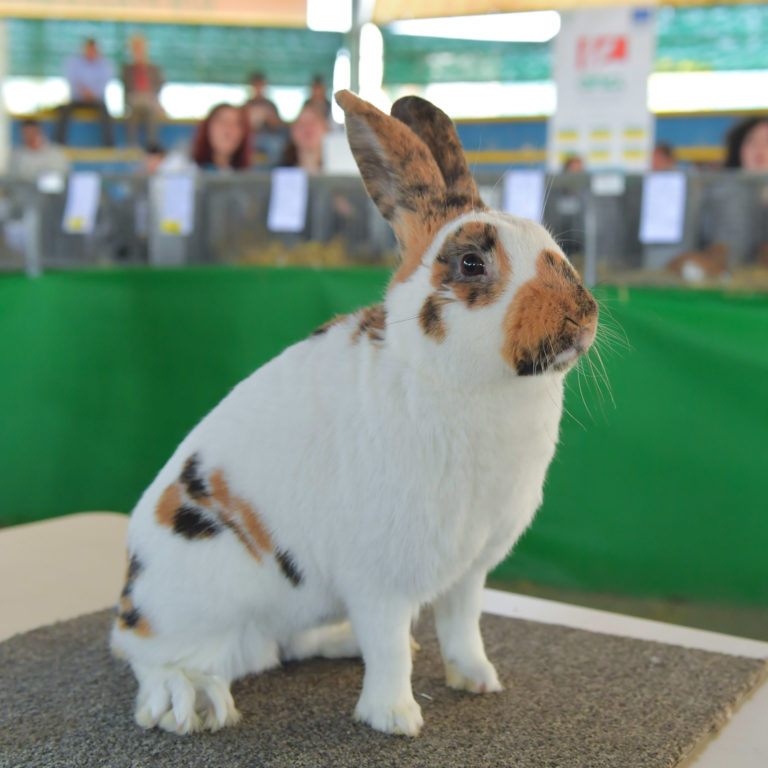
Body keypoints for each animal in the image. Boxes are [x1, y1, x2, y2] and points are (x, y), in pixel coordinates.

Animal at [109, 90, 600, 736]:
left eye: (554, 245)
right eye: (471, 263)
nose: (583, 317)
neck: (455, 381)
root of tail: (129, 595)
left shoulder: (469, 570)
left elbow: (462, 627)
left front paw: (478, 680)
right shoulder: (380, 578)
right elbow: (389, 647)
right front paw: (395, 718)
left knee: (283, 645)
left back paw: (338, 643)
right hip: (191, 600)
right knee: (150, 657)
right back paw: (190, 700)